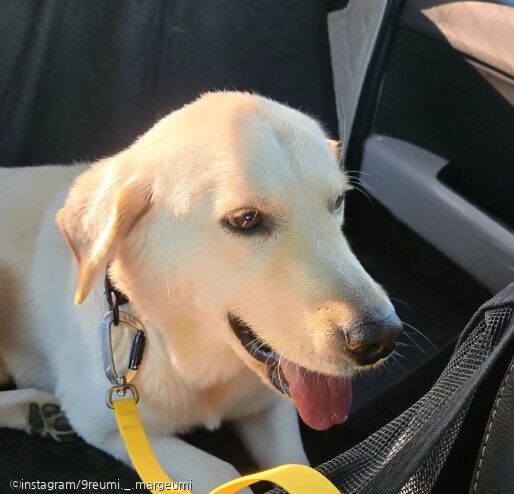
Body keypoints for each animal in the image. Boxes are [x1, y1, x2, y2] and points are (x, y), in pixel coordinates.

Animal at [0, 90, 400, 492]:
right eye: (246, 220)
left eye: (337, 202)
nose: (380, 338)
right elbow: (221, 471)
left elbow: (301, 468)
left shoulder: (271, 405)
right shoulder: (108, 423)